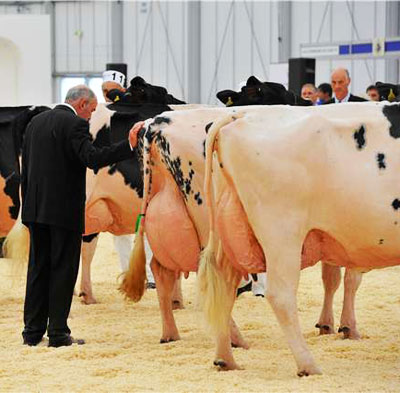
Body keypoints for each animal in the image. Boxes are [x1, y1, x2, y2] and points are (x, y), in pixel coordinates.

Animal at [198, 99, 400, 376]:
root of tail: (242, 113)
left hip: (230, 225)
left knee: (224, 287)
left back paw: (225, 359)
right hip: (282, 232)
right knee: (280, 294)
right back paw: (308, 365)